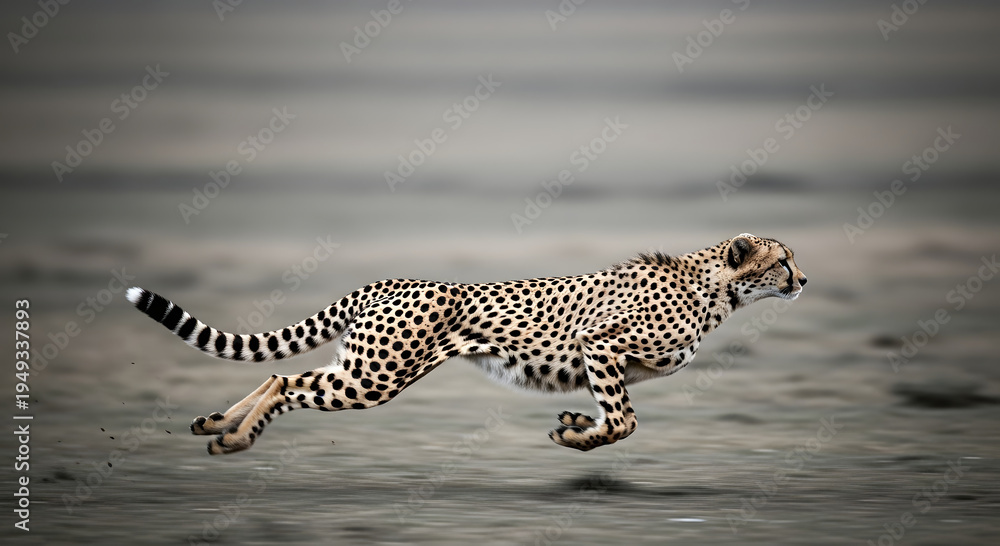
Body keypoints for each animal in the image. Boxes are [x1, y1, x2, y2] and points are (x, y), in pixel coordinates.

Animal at [126, 233, 806, 455]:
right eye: (782, 261)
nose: (803, 280)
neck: (714, 287)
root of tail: (389, 279)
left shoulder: (605, 361)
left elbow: (615, 415)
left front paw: (572, 424)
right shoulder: (600, 346)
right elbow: (624, 421)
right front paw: (579, 436)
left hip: (364, 366)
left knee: (280, 376)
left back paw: (219, 425)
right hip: (374, 377)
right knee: (287, 381)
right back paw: (237, 438)